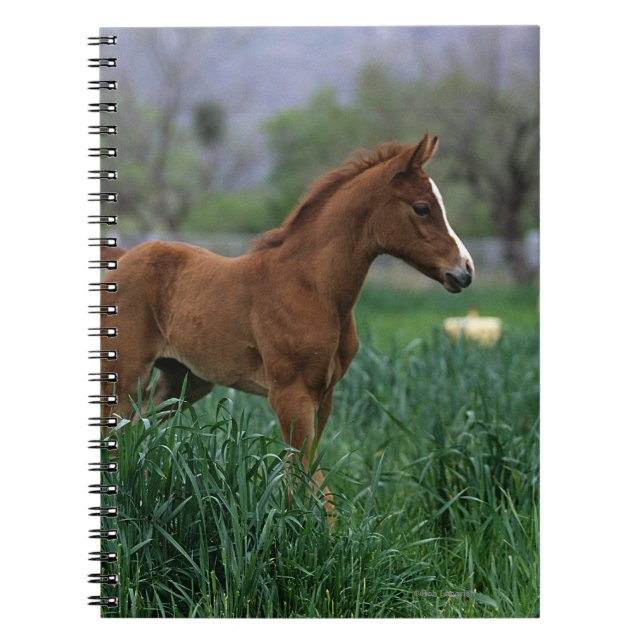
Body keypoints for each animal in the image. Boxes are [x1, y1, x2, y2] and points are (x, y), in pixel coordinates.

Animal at [101, 133, 474, 513]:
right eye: (422, 207)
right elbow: (312, 477)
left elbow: (301, 474)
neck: (313, 288)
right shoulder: (288, 394)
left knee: (136, 431)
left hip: (183, 380)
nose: (465, 270)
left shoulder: (323, 395)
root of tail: (122, 258)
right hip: (124, 376)